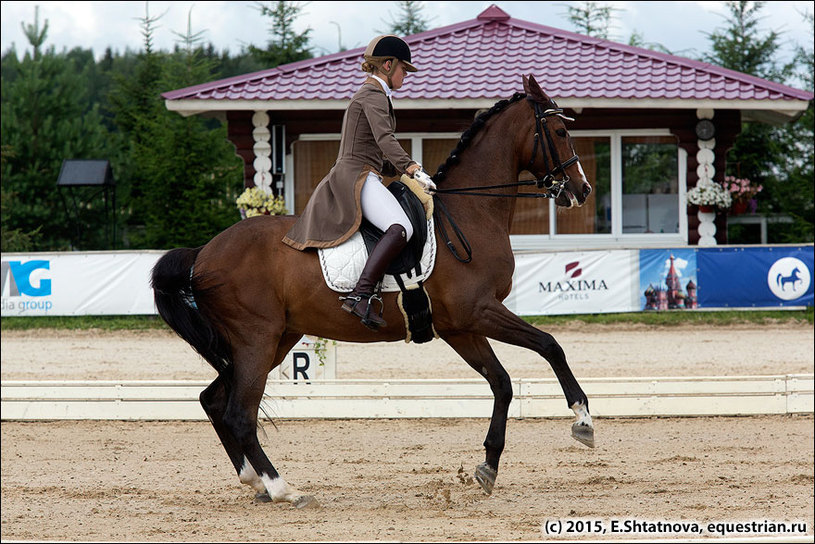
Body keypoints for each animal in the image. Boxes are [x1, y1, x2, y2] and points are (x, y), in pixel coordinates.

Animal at [153, 74, 596, 508]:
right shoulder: (479, 311)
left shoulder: (461, 327)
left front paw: (488, 466)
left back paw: (255, 481)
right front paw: (582, 420)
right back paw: (283, 488)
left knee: (214, 401)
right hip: (256, 340)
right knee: (238, 414)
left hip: (276, 339)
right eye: (560, 131)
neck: (471, 212)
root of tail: (202, 253)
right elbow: (550, 345)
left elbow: (501, 382)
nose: (582, 190)